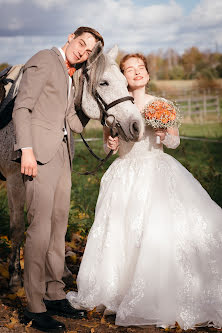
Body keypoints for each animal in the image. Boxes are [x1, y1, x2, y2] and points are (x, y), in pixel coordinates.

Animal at [0, 42, 144, 290]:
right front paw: (16, 276)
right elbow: (18, 227)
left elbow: (57, 222)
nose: (136, 126)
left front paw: (62, 272)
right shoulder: (14, 181)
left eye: (126, 83)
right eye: (104, 83)